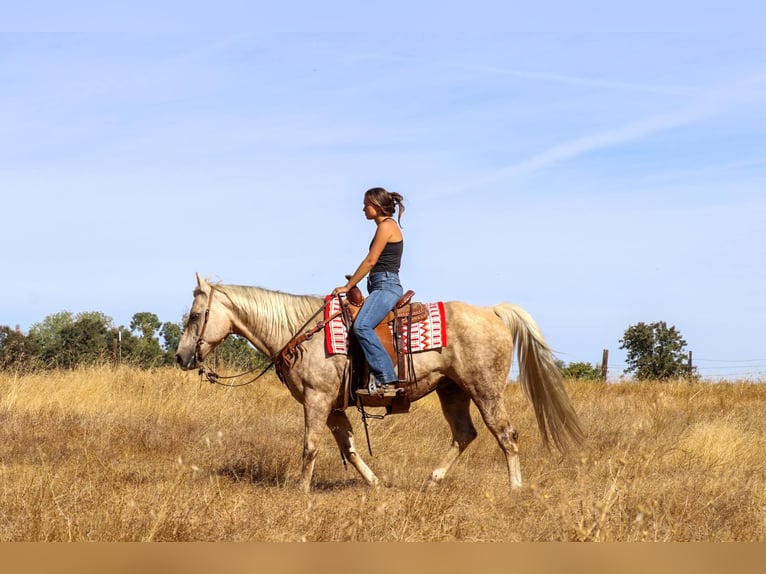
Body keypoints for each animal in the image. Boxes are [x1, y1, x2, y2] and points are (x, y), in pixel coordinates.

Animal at [175, 273, 584, 492]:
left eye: (195, 315)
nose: (181, 357)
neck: (300, 333)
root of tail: (492, 312)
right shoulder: (334, 406)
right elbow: (350, 447)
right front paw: (374, 484)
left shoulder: (317, 399)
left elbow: (310, 446)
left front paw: (301, 490)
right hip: (452, 391)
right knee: (464, 434)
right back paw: (432, 480)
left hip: (485, 391)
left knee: (505, 434)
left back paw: (515, 488)